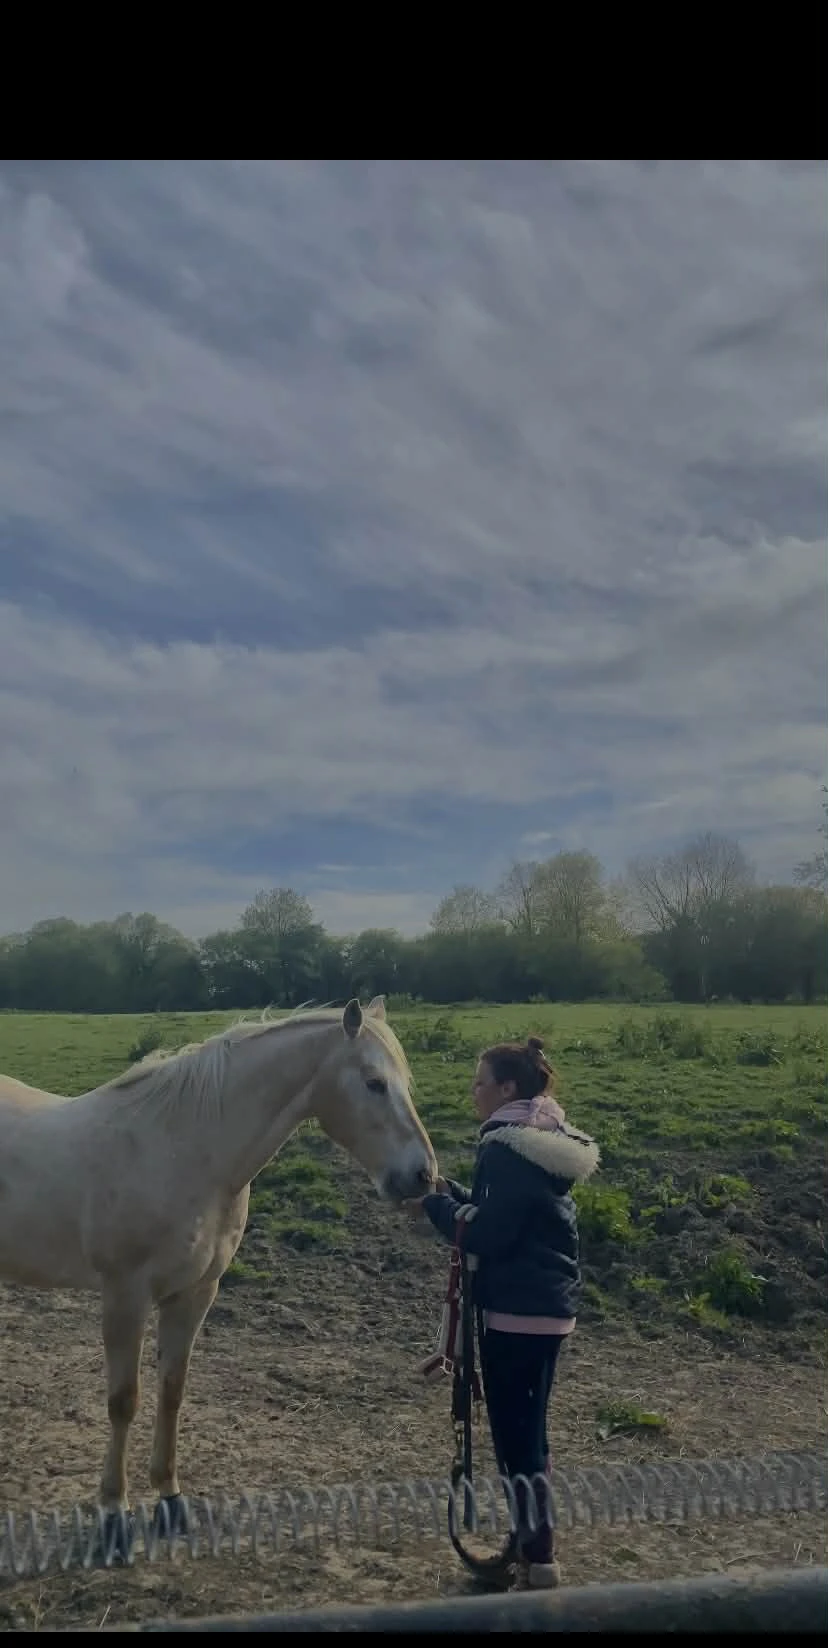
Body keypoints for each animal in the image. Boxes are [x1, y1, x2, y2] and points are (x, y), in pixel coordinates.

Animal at [0, 996, 436, 1539]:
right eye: (374, 1082)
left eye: (406, 1082)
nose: (422, 1176)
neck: (181, 1153)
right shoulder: (125, 1296)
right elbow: (124, 1400)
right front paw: (114, 1509)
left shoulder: (195, 1293)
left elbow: (171, 1391)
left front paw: (169, 1497)